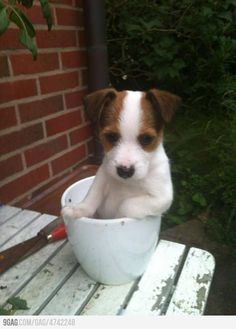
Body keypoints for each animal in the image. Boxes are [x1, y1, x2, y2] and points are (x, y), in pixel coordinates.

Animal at [60, 88, 181, 219]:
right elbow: (93, 194)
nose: (125, 171)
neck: (127, 183)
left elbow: (127, 205)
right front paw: (79, 209)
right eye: (111, 136)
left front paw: (118, 217)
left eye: (146, 139)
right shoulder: (102, 177)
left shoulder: (162, 197)